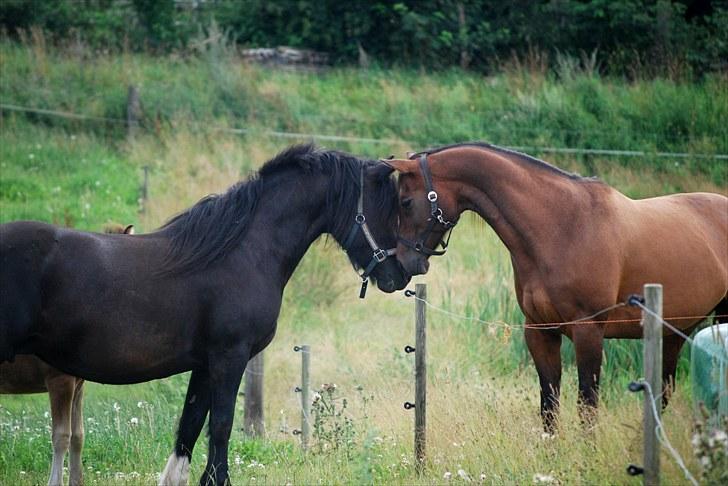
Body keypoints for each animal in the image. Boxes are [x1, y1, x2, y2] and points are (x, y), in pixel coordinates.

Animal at [386, 142, 728, 430]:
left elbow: (587, 405)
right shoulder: (540, 331)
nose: (401, 266)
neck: (562, 227)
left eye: (405, 201)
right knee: (664, 392)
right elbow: (549, 405)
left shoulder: (588, 331)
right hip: (674, 331)